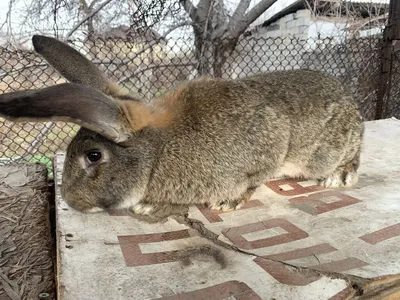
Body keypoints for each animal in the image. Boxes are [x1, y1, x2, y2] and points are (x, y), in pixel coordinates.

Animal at [0, 35, 362, 216]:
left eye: (93, 156)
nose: (72, 202)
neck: (158, 152)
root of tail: (347, 96)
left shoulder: (265, 150)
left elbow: (251, 182)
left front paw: (223, 203)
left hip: (326, 152)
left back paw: (340, 177)